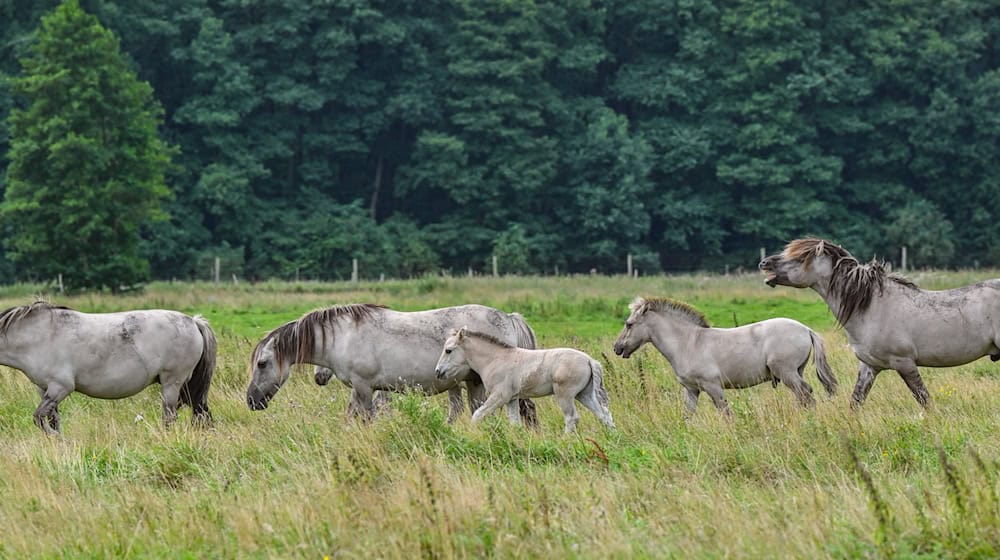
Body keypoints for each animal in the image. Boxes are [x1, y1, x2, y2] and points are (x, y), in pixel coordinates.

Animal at [0, 300, 217, 436]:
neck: (39, 336)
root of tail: (194, 322)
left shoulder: (60, 387)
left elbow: (38, 418)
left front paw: (56, 437)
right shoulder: (45, 389)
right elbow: (53, 420)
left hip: (172, 383)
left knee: (169, 417)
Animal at [434, 328, 612, 434]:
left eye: (448, 350)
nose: (438, 372)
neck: (495, 359)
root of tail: (589, 360)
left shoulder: (500, 396)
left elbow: (478, 414)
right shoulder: (512, 399)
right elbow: (515, 423)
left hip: (565, 395)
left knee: (572, 418)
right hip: (584, 394)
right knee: (604, 414)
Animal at [608, 298, 836, 416]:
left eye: (629, 324)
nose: (617, 348)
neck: (688, 343)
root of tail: (806, 329)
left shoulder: (713, 387)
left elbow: (726, 413)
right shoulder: (691, 390)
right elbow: (688, 415)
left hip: (787, 372)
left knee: (806, 394)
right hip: (796, 371)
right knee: (804, 396)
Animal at [756, 238, 1000, 410]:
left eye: (798, 258)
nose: (764, 263)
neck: (870, 306)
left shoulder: (905, 363)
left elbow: (924, 399)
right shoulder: (869, 366)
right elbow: (856, 401)